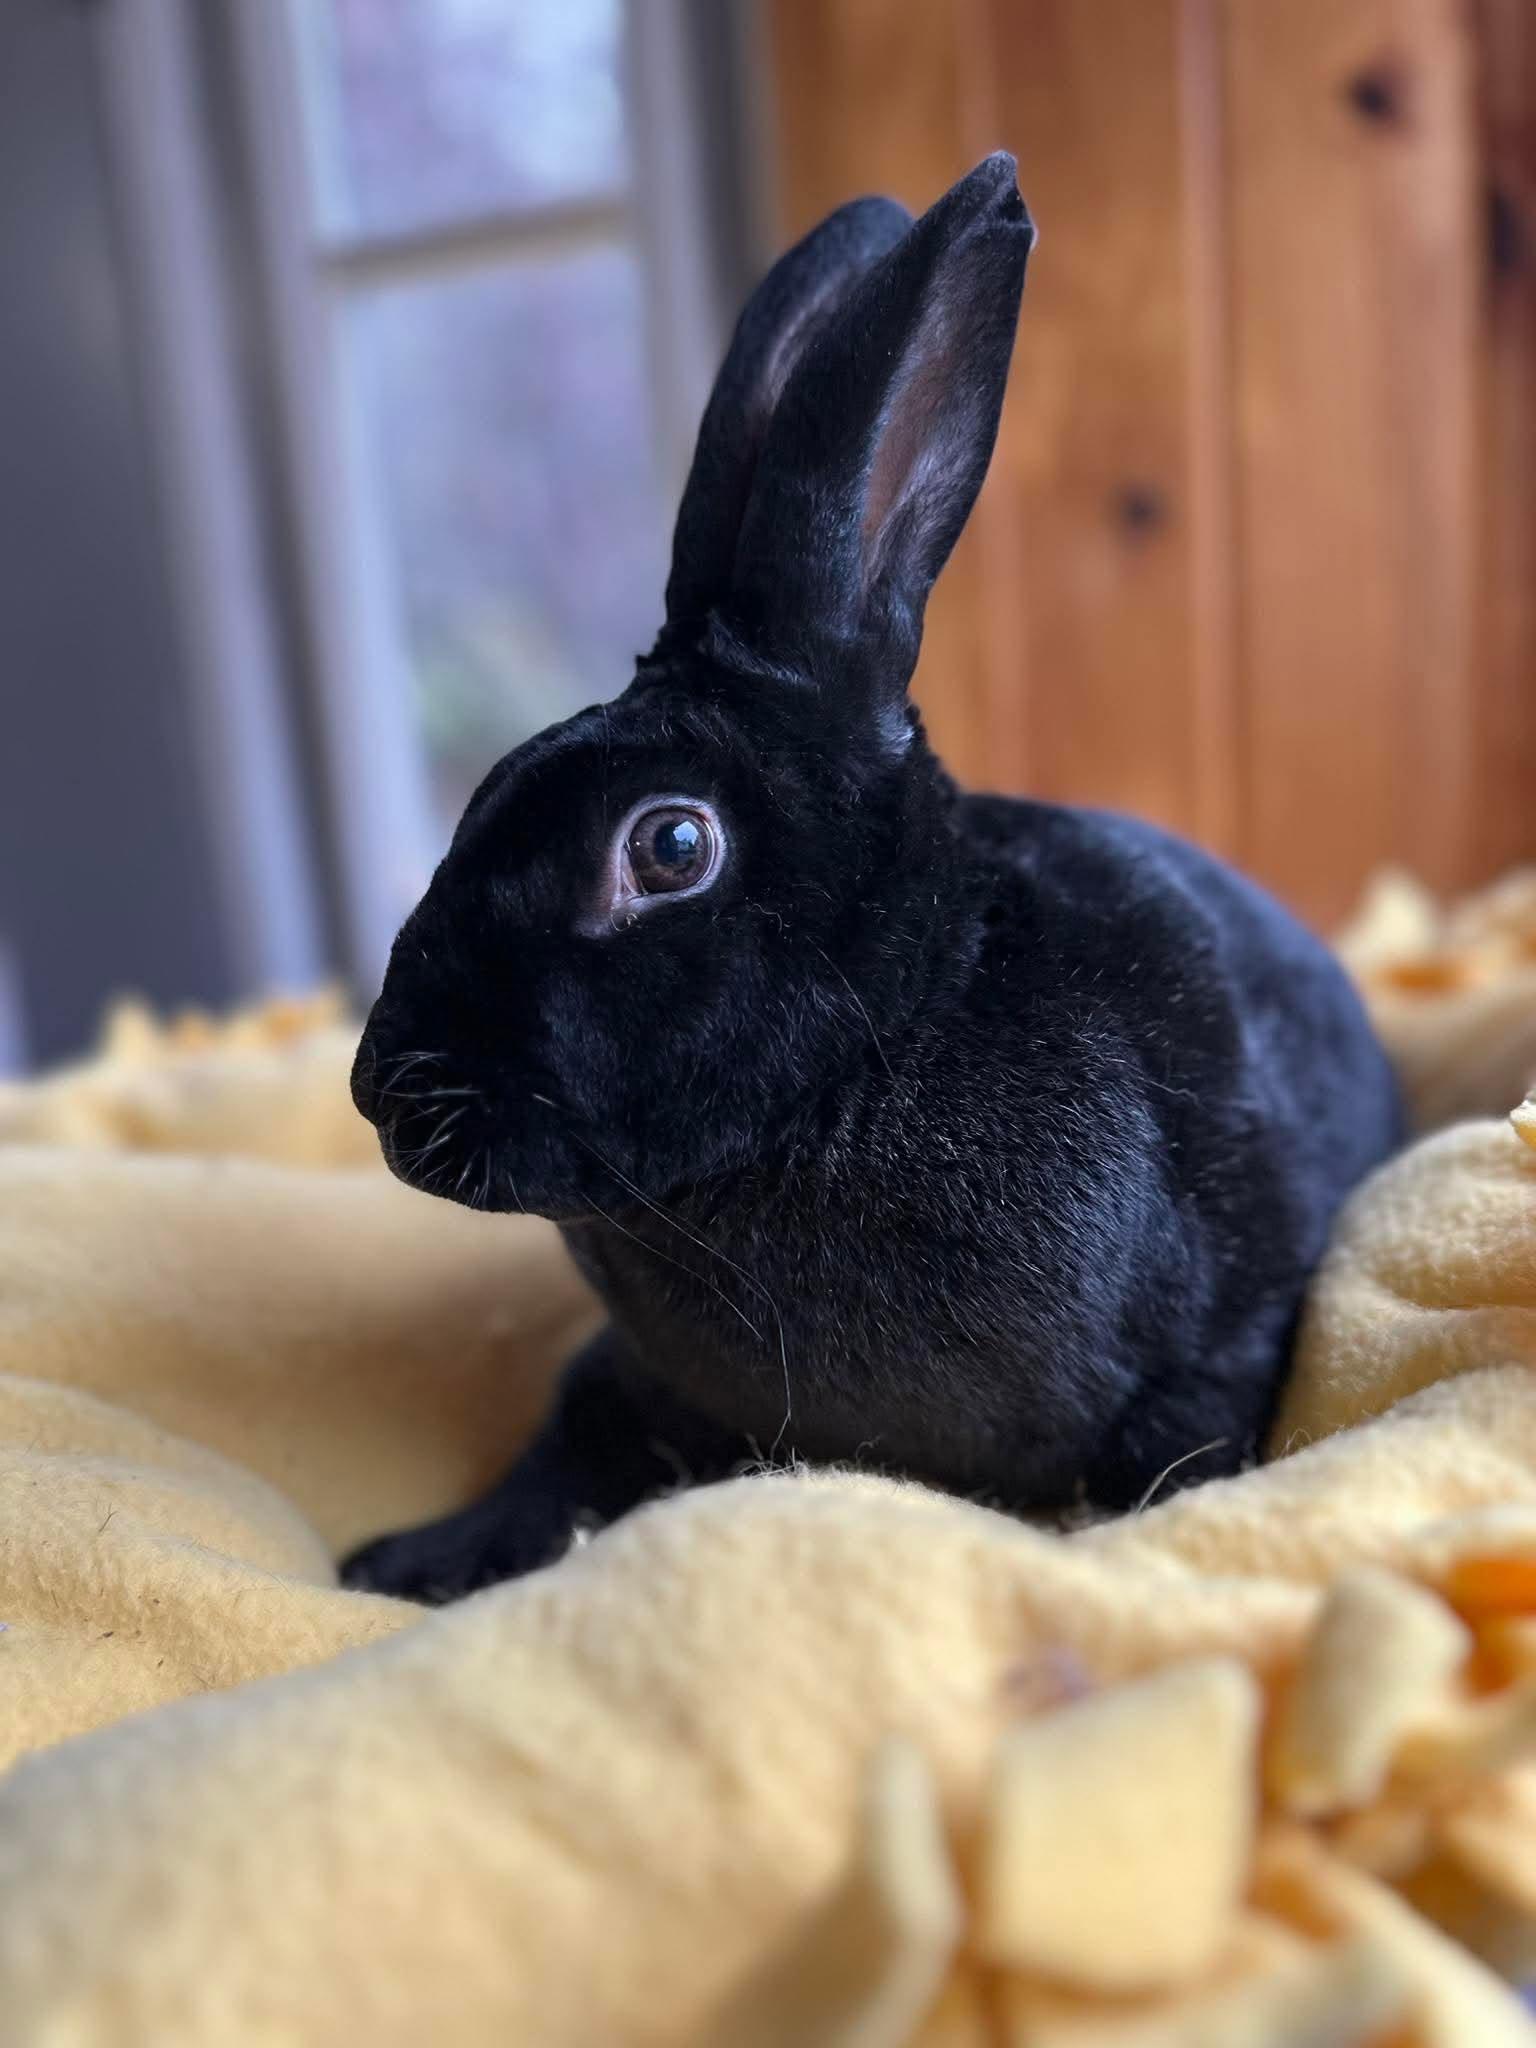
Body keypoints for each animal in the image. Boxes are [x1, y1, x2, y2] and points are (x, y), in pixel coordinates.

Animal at [344, 154, 1402, 1602]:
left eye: (670, 847)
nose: (380, 1090)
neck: (884, 1036)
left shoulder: (1226, 1331)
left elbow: (1175, 1457)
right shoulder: (635, 1377)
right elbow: (570, 1430)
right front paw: (408, 1561)